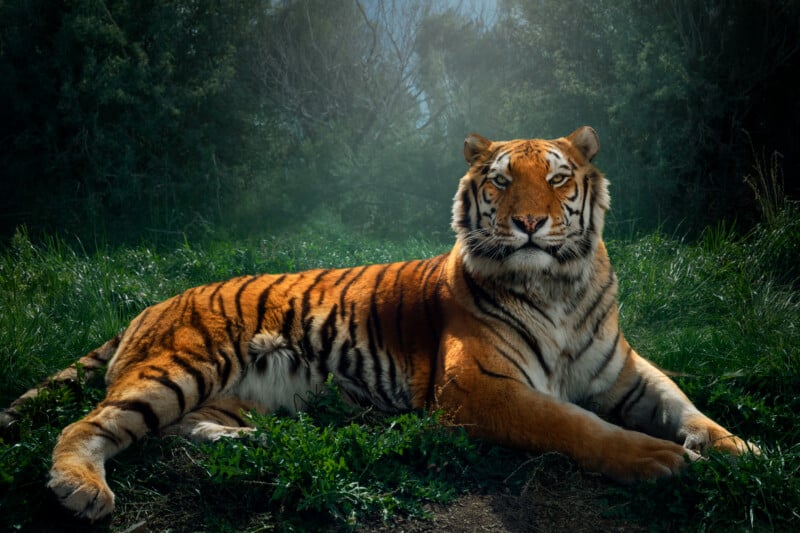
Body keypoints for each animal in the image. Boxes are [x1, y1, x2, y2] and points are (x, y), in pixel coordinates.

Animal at [0, 126, 758, 521]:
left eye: (558, 178)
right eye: (502, 181)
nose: (529, 223)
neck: (559, 286)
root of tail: (153, 301)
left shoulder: (625, 372)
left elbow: (686, 406)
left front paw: (743, 450)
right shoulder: (479, 386)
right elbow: (574, 424)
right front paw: (658, 460)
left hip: (230, 392)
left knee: (184, 430)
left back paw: (266, 442)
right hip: (185, 364)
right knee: (93, 423)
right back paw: (81, 487)